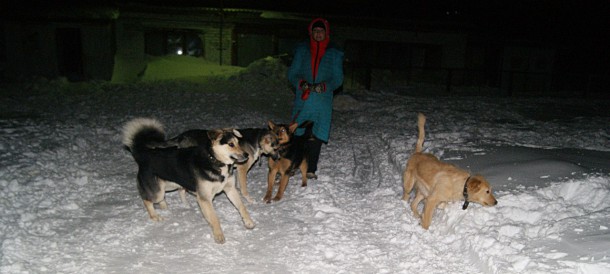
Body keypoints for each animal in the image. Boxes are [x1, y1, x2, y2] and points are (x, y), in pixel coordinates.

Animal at [122, 117, 253, 244]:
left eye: (238, 143)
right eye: (231, 144)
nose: (246, 155)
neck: (214, 160)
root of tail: (144, 155)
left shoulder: (230, 189)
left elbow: (242, 207)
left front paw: (248, 222)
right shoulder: (204, 198)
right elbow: (214, 218)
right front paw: (218, 236)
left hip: (170, 185)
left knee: (165, 197)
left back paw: (166, 208)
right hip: (157, 192)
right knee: (147, 200)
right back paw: (155, 216)